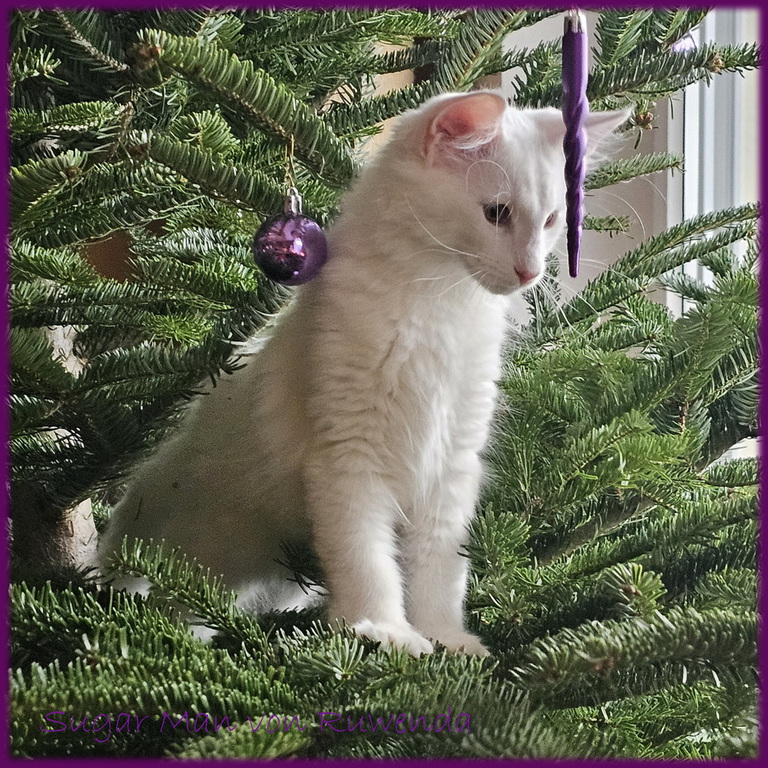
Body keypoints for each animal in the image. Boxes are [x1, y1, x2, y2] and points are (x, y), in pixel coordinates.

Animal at [99, 91, 630, 656]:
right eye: (497, 213)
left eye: (552, 221)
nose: (531, 272)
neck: (438, 304)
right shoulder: (348, 459)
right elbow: (367, 561)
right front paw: (383, 630)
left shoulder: (452, 464)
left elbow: (440, 571)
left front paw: (445, 638)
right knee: (172, 604)